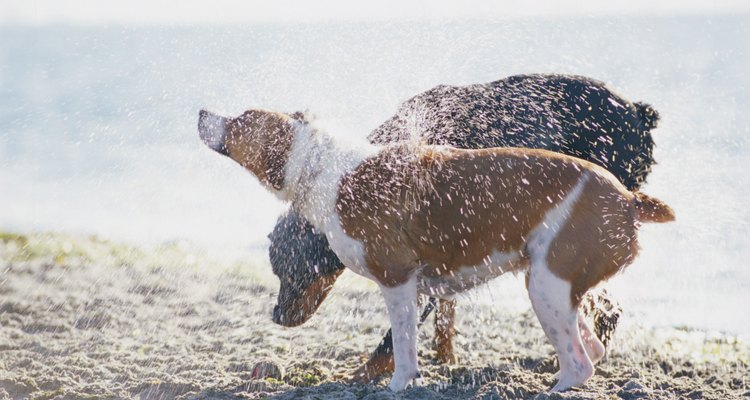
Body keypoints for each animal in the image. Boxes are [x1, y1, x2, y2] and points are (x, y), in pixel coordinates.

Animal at [198, 108, 676, 392]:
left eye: (239, 119)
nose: (203, 112)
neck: (324, 169)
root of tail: (628, 199)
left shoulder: (398, 280)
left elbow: (402, 346)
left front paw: (399, 383)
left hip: (547, 287)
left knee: (581, 363)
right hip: (555, 285)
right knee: (590, 349)